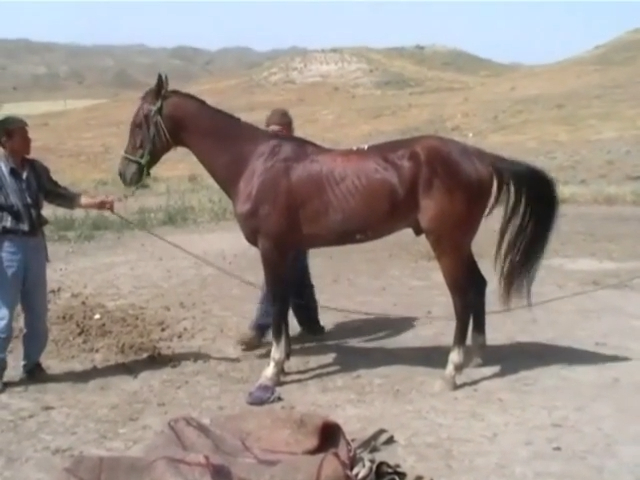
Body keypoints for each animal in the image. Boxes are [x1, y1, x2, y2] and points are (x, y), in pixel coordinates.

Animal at [118, 73, 559, 404]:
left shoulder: (272, 248)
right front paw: (285, 360)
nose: (125, 173)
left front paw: (272, 370)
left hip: (446, 243)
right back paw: (476, 354)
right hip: (458, 243)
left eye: (139, 122)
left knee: (462, 296)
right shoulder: (288, 249)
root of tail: (480, 157)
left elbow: (277, 303)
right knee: (479, 287)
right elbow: (285, 302)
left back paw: (452, 370)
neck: (255, 162)